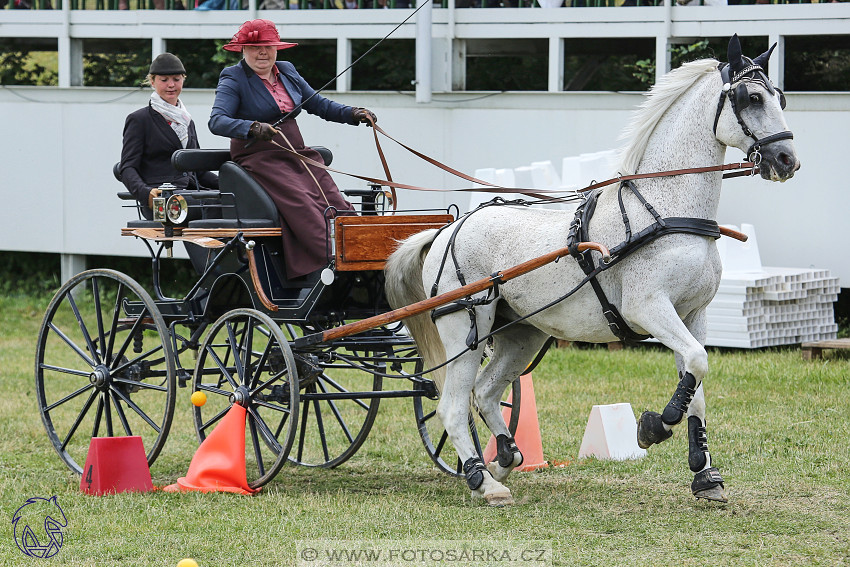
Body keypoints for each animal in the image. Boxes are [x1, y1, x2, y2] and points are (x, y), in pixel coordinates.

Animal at [388, 35, 800, 506]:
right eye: (751, 98)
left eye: (780, 97)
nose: (786, 160)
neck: (665, 210)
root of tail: (446, 229)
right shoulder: (648, 308)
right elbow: (697, 364)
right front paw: (655, 427)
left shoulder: (694, 314)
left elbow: (696, 381)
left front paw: (705, 474)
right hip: (465, 326)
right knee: (452, 404)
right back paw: (483, 480)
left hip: (522, 333)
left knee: (486, 391)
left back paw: (505, 458)